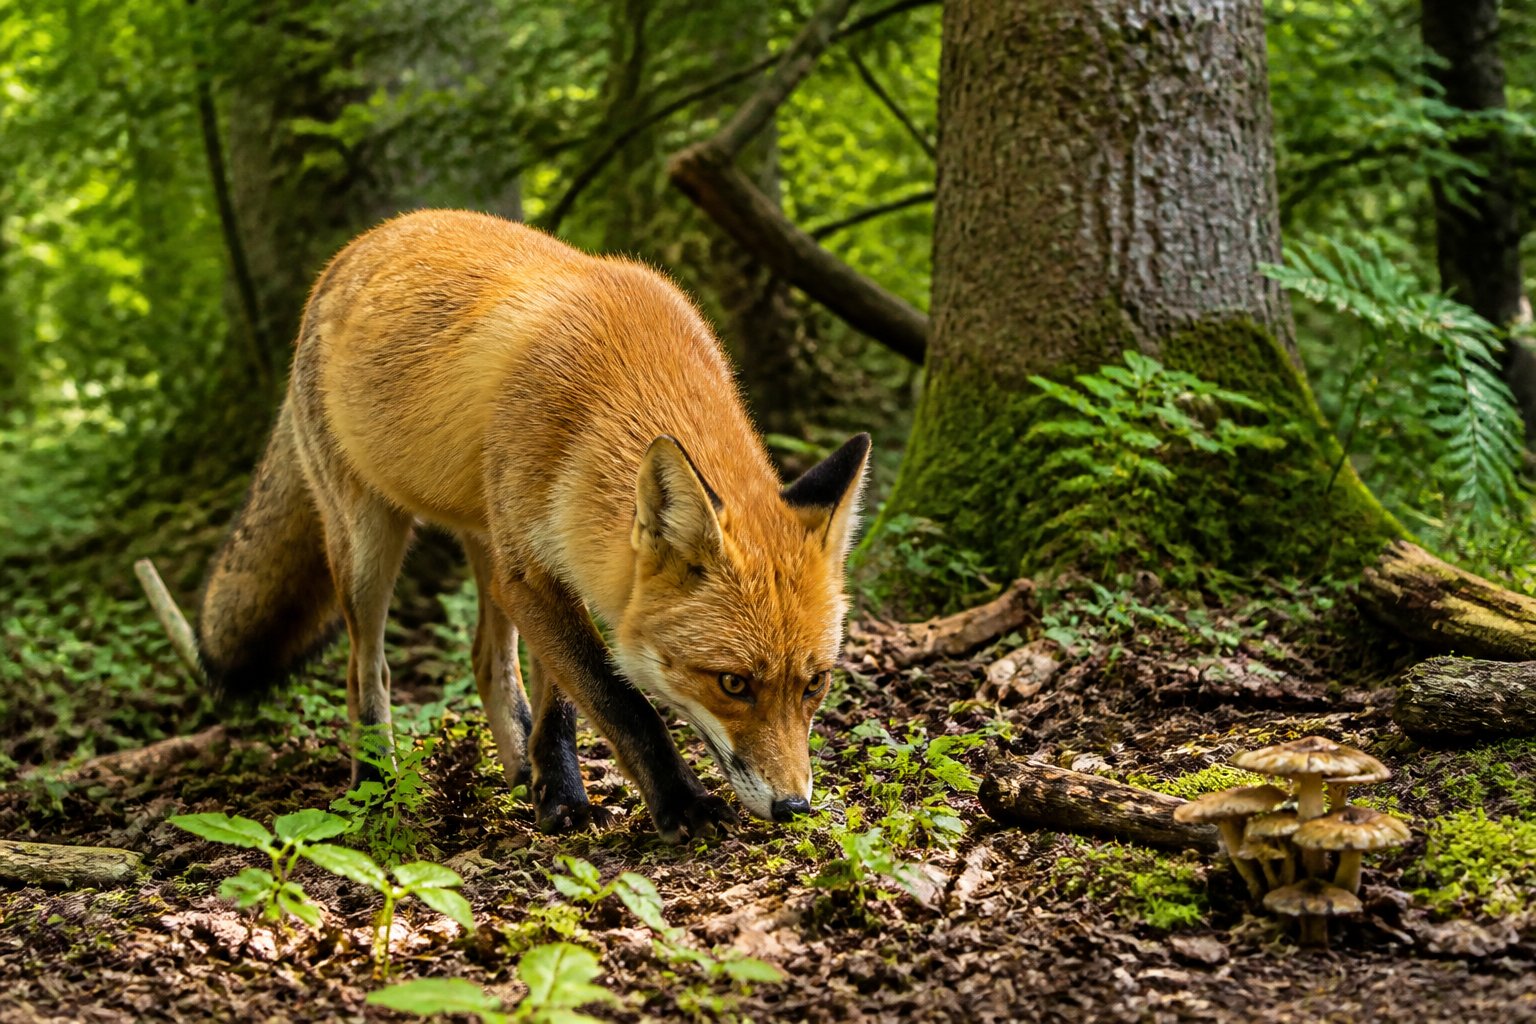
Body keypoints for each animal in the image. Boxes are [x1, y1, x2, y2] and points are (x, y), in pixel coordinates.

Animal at [195, 209, 870, 840]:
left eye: (815, 683)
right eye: (732, 683)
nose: (793, 807)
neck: (621, 379)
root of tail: (362, 243)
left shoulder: (557, 559)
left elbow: (562, 701)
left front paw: (560, 792)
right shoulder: (530, 571)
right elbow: (619, 699)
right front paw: (682, 804)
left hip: (486, 540)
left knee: (486, 660)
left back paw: (521, 770)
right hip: (368, 540)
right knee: (368, 669)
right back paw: (376, 784)